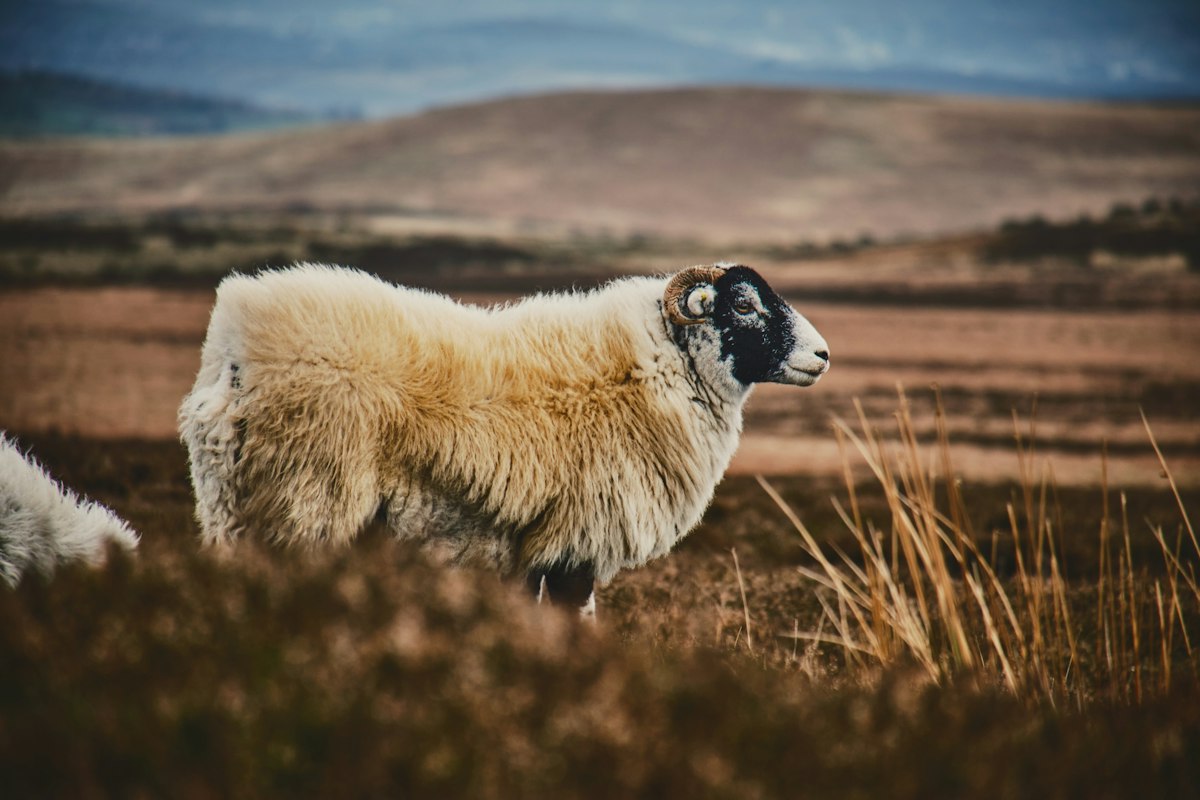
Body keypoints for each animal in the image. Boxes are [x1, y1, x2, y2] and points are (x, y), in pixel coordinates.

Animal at [179, 262, 829, 614]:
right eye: (743, 305)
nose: (822, 355)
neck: (658, 370)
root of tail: (234, 357)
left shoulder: (530, 546)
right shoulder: (577, 538)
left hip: (232, 503)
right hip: (301, 500)